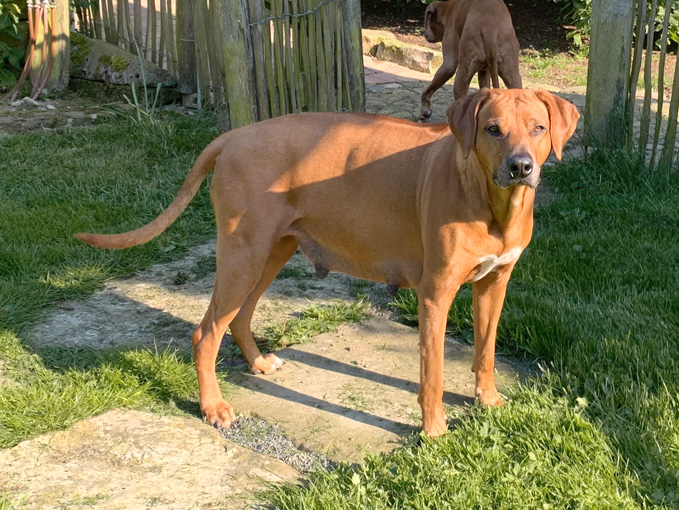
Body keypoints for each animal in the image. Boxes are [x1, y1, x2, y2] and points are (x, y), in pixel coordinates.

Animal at [77, 88, 579, 437]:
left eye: (537, 128)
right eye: (493, 129)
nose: (521, 167)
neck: (491, 202)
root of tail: (231, 136)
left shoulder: (495, 283)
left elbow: (486, 352)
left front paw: (487, 399)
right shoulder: (435, 294)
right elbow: (432, 373)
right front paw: (434, 429)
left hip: (272, 252)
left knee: (239, 317)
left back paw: (257, 364)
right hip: (244, 255)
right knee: (205, 334)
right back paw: (212, 407)